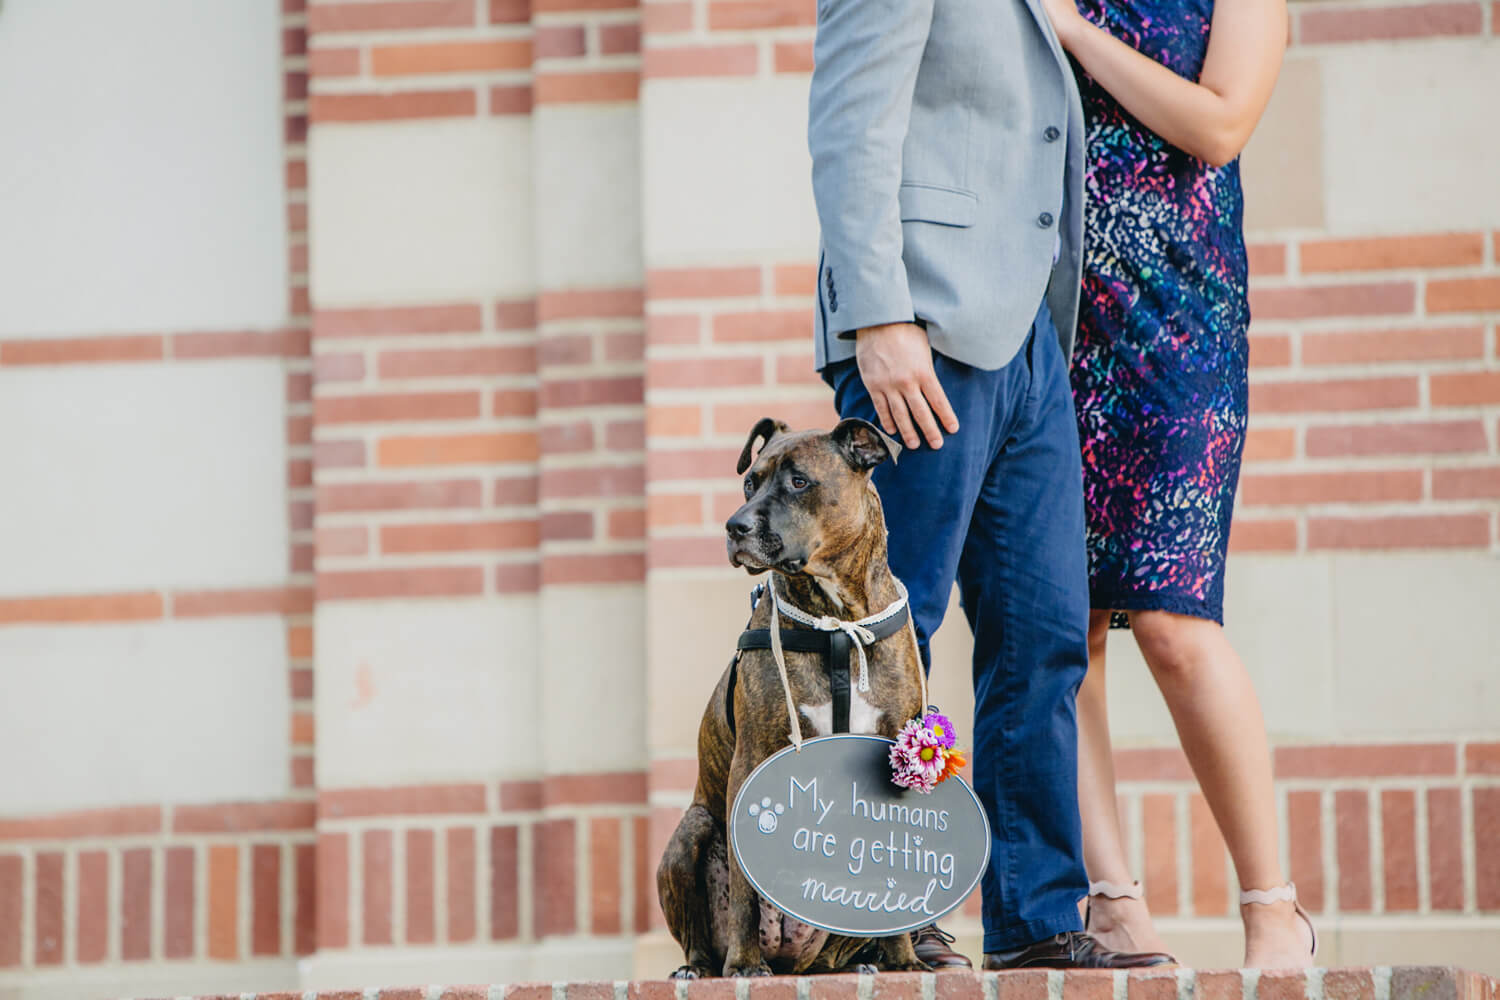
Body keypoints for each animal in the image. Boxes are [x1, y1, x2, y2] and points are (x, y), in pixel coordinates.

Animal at [656, 417, 930, 978]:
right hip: (693, 827)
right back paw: (703, 966)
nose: (734, 527)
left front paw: (904, 961)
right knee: (698, 931)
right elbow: (742, 889)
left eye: (799, 482)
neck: (837, 621)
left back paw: (859, 964)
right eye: (749, 482)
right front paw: (743, 965)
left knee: (828, 955)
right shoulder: (752, 757)